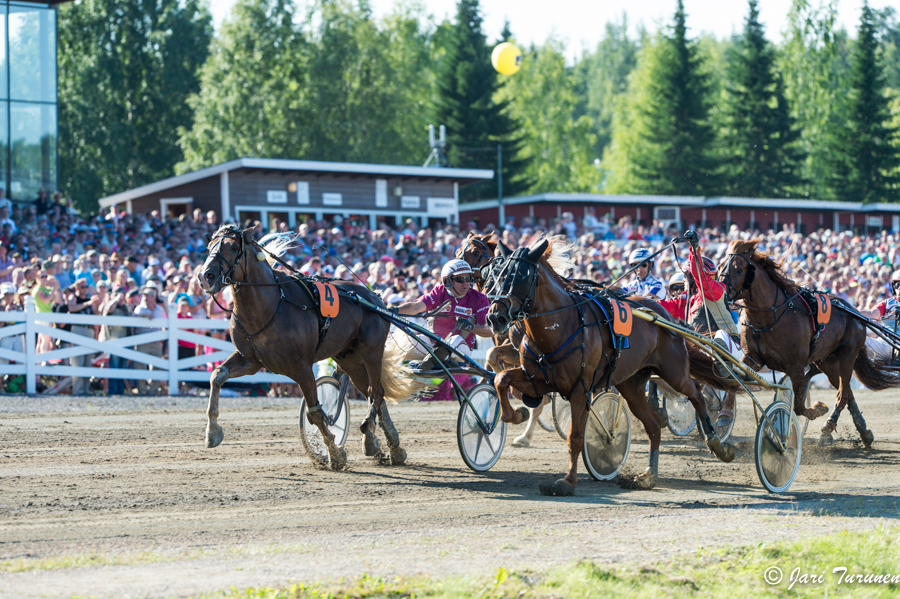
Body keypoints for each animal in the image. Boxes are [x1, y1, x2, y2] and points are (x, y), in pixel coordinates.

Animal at [197, 225, 418, 468]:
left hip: (371, 352)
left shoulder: (301, 368)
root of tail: (375, 298)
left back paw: (372, 437)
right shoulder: (250, 360)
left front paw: (334, 454)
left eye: (234, 247)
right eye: (209, 247)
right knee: (374, 393)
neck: (269, 306)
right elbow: (216, 376)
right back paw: (390, 447)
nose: (205, 276)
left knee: (376, 394)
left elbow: (315, 413)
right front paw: (212, 432)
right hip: (350, 359)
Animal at [486, 239, 732, 496]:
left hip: (674, 372)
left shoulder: (579, 390)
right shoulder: (537, 380)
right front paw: (516, 414)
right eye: (496, 275)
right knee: (654, 426)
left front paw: (568, 481)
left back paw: (716, 442)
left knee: (695, 393)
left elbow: (575, 437)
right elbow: (501, 379)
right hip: (631, 385)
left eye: (519, 277)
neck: (559, 326)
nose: (495, 318)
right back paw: (648, 474)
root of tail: (667, 317)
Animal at [716, 238, 900, 446]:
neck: (770, 317)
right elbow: (733, 381)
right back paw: (862, 431)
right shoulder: (753, 358)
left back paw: (832, 426)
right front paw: (724, 416)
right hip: (827, 361)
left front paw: (817, 409)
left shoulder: (795, 365)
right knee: (847, 392)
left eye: (739, 269)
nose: (720, 293)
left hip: (847, 356)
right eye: (720, 266)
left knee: (843, 394)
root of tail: (855, 313)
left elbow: (798, 406)